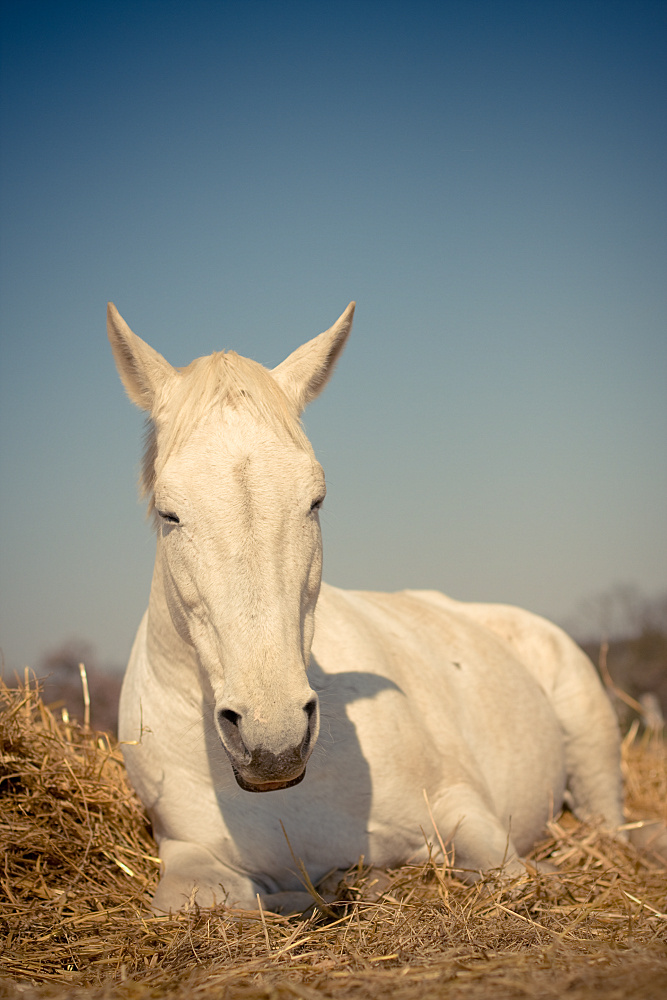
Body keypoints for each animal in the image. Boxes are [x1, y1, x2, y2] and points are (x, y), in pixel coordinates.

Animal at [108, 302, 632, 916]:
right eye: (169, 514)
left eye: (316, 501)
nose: (273, 742)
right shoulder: (189, 857)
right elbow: (205, 899)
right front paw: (348, 885)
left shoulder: (459, 803)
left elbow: (507, 873)